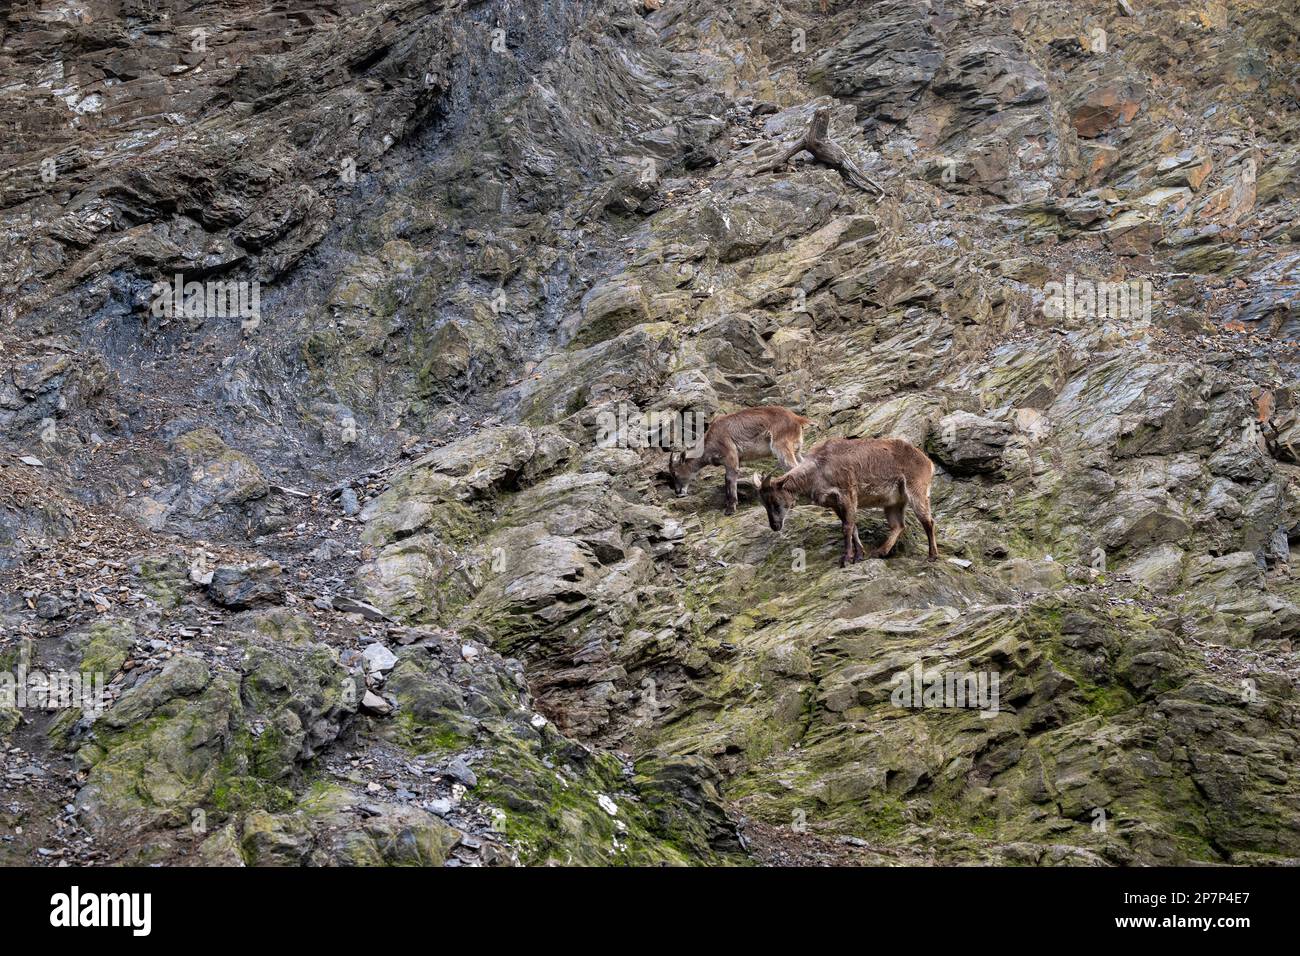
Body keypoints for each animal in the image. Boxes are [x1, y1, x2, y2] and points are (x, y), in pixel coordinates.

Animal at [670, 408, 811, 520]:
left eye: (675, 473)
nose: (678, 492)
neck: (710, 441)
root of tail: (797, 419)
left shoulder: (730, 456)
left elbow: (729, 479)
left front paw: (730, 509)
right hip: (796, 450)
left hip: (781, 447)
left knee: (793, 468)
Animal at [754, 434, 935, 564]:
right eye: (764, 504)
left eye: (775, 501)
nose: (775, 526)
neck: (819, 468)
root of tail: (928, 462)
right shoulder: (835, 503)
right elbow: (852, 527)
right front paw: (859, 555)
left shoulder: (847, 493)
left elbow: (847, 527)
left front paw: (846, 559)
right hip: (893, 502)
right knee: (898, 525)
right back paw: (880, 552)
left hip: (916, 489)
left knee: (928, 521)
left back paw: (932, 555)